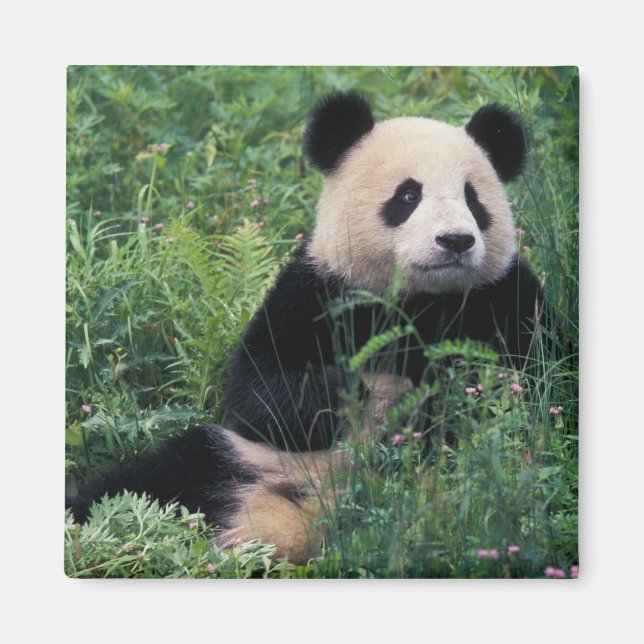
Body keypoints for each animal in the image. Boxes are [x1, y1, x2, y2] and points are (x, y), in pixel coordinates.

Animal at [67, 91, 546, 565]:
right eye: (409, 195)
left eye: (473, 200)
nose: (455, 241)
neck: (419, 300)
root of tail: (297, 520)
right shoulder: (315, 292)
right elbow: (258, 390)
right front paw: (344, 388)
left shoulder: (503, 297)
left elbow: (540, 382)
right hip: (239, 458)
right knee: (142, 485)